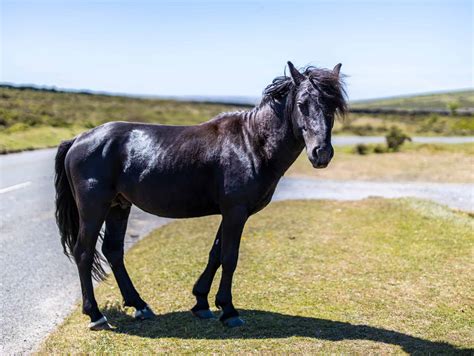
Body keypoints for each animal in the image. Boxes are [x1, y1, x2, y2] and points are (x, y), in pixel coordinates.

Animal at [55, 60, 346, 328]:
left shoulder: (231, 213)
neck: (251, 143)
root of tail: (79, 139)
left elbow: (215, 255)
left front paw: (202, 303)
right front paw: (229, 311)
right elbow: (229, 258)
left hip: (119, 206)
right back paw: (96, 315)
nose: (321, 153)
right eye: (302, 103)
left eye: (333, 106)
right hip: (94, 208)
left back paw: (140, 305)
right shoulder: (236, 212)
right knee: (84, 252)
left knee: (113, 251)